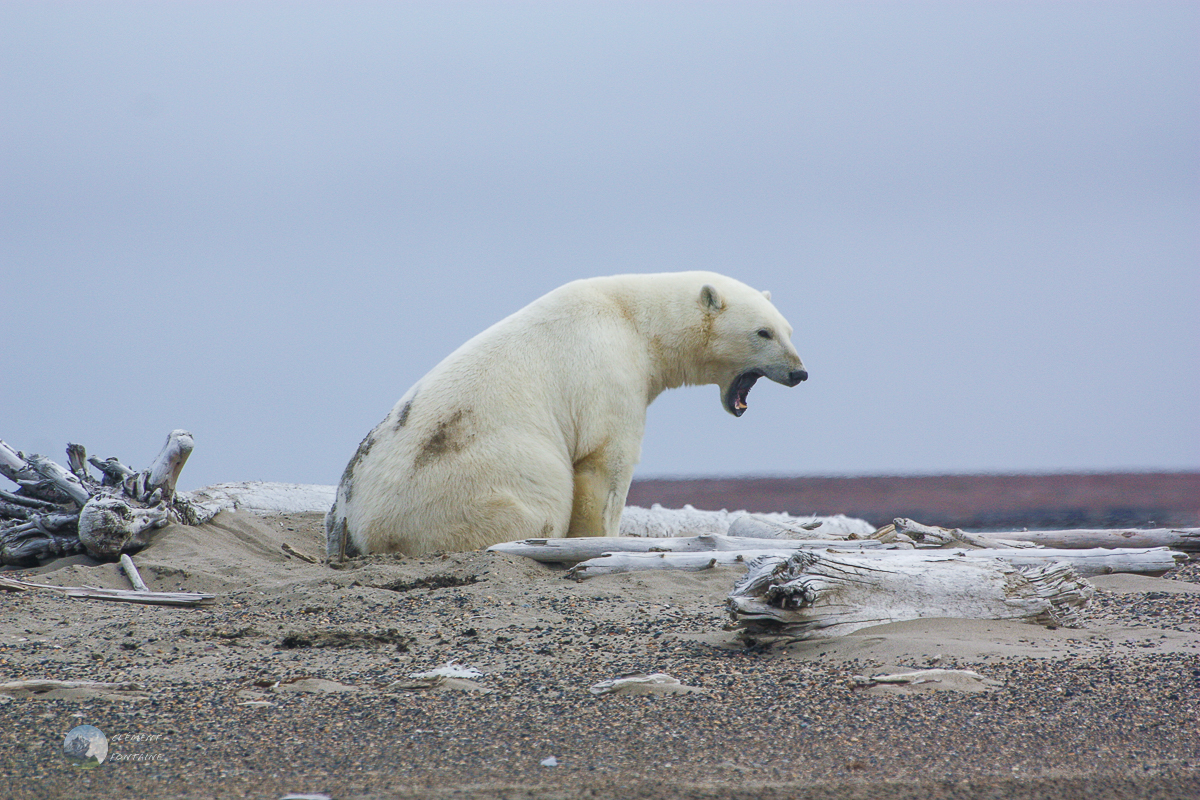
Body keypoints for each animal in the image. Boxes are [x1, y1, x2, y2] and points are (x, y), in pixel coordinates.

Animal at [326, 272, 806, 561]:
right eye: (762, 332)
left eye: (788, 330)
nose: (800, 372)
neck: (636, 320)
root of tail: (355, 523)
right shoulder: (609, 371)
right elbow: (605, 462)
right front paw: (600, 539)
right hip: (471, 489)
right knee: (531, 505)